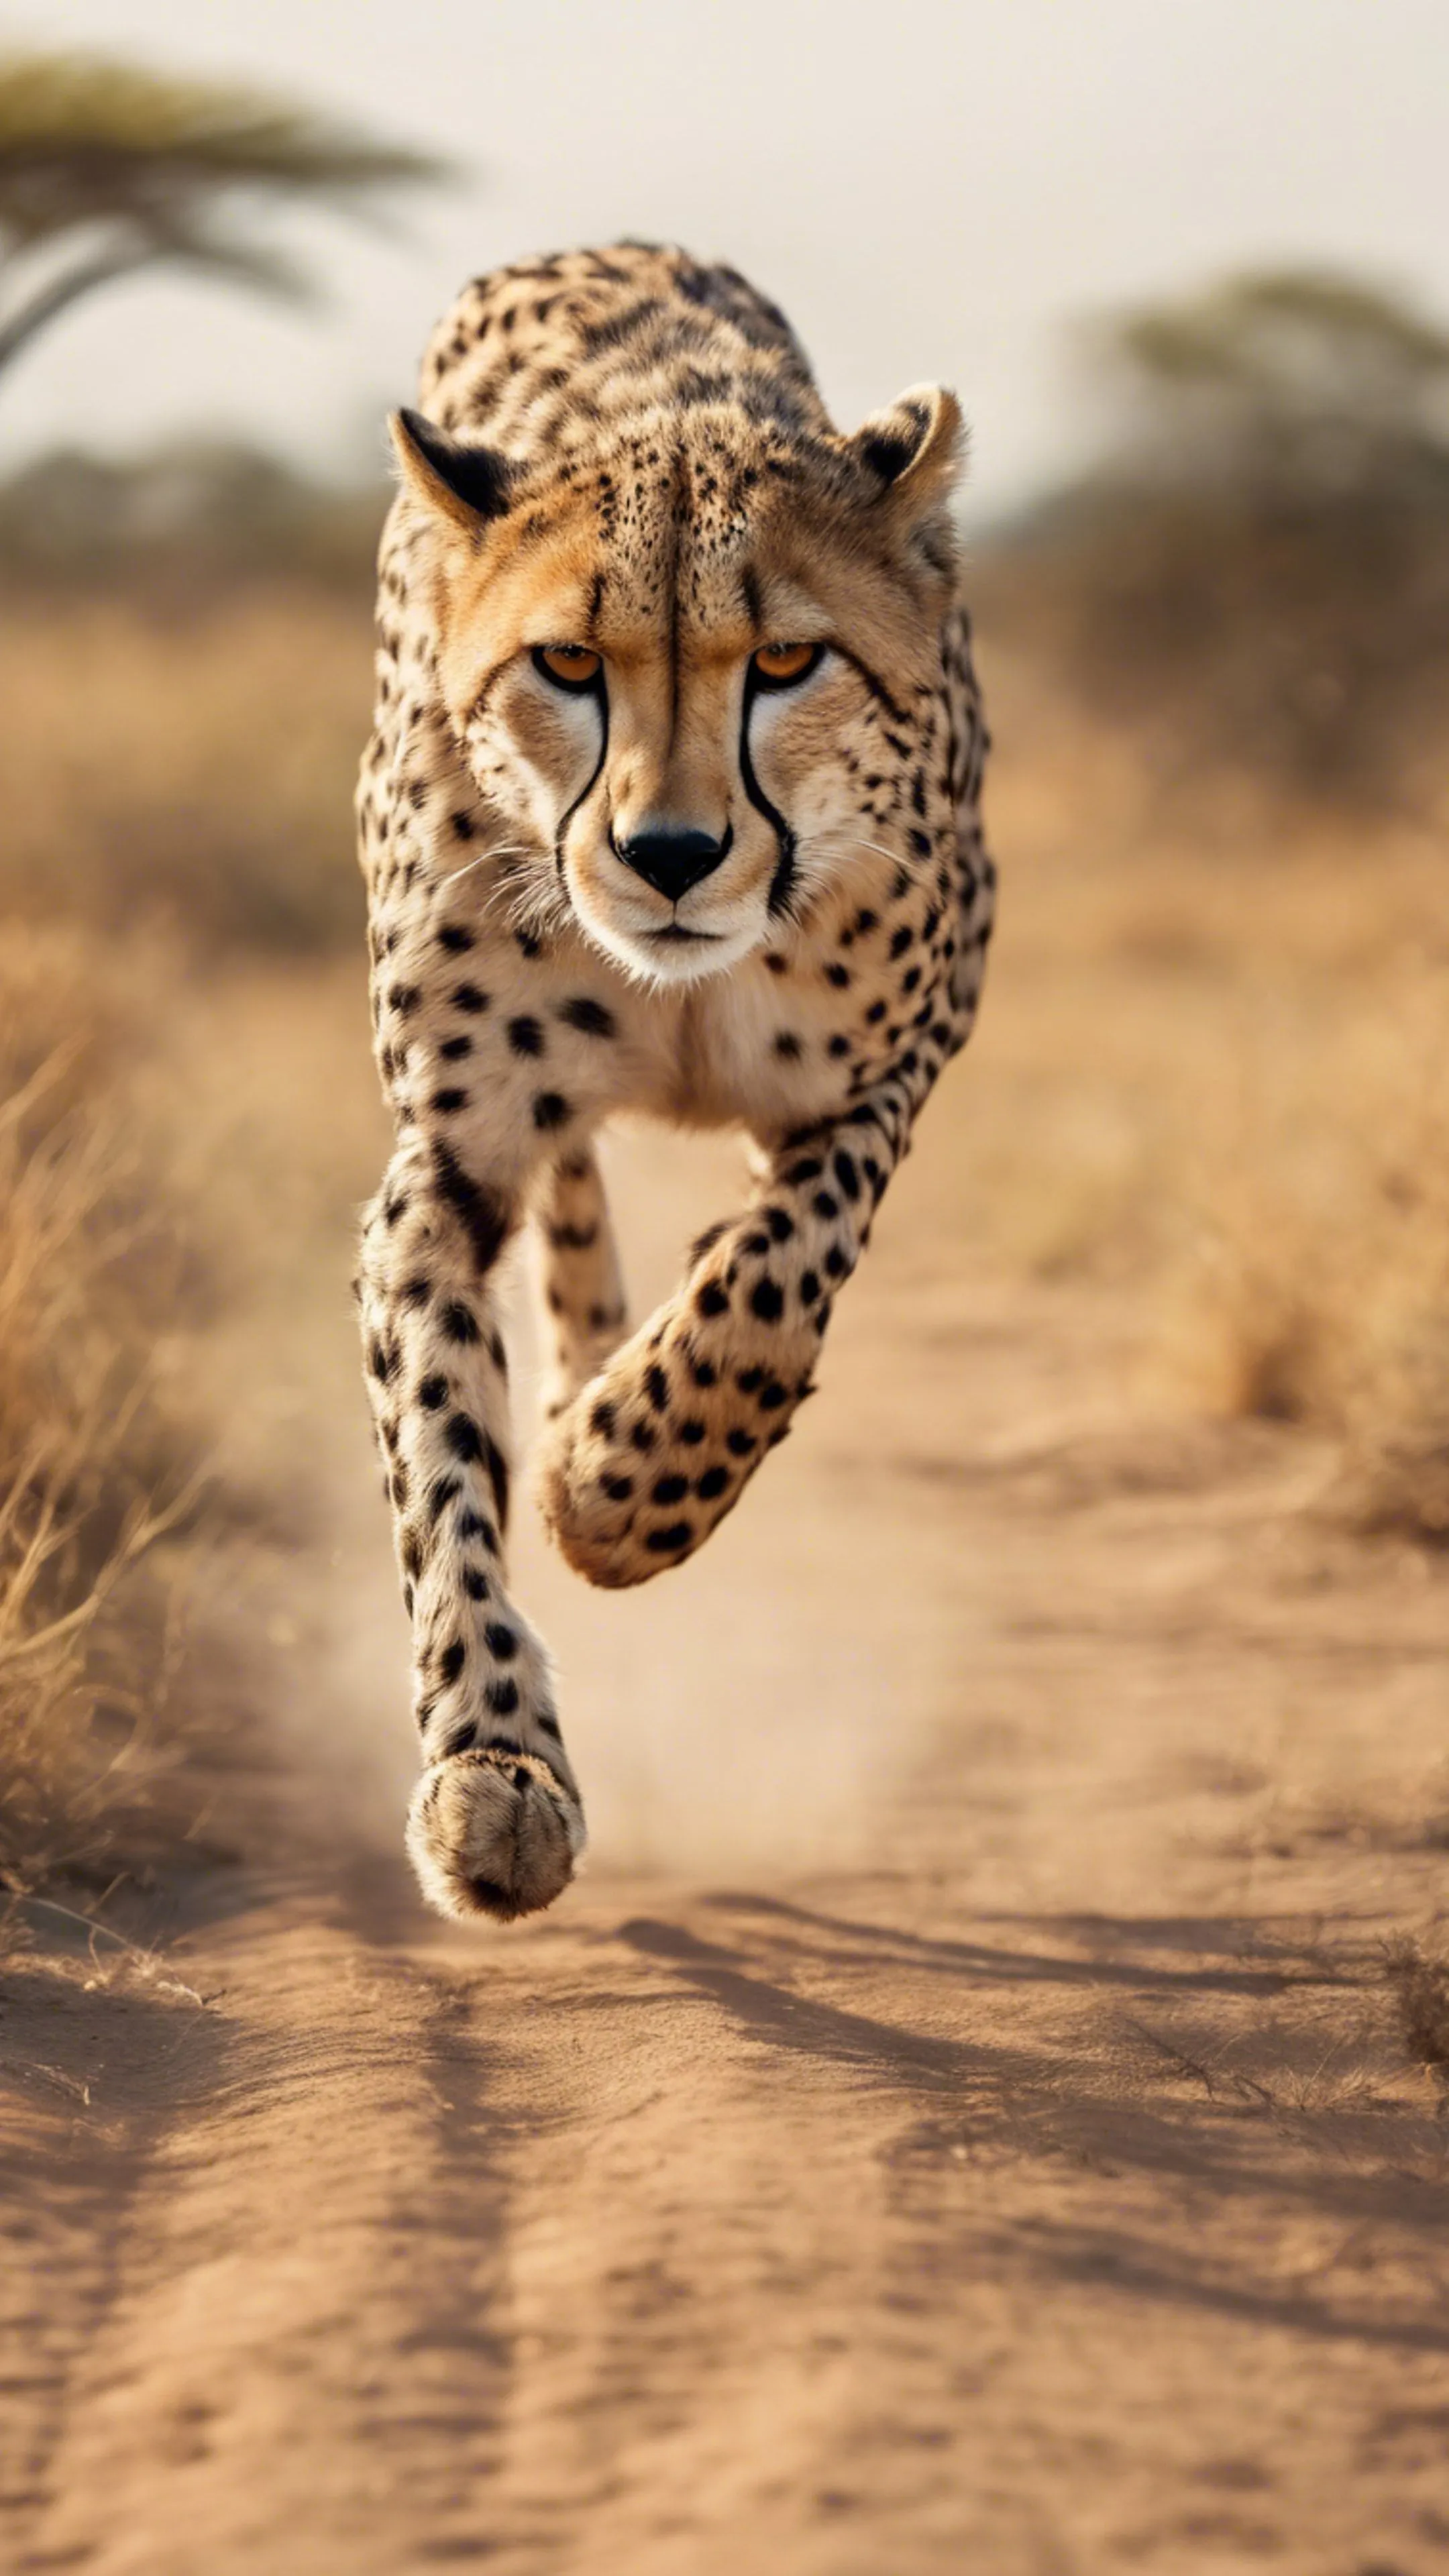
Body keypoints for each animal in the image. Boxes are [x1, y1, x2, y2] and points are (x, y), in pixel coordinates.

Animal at [355, 241, 995, 1925]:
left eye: (786, 662)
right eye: (568, 666)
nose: (669, 853)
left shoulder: (898, 1064)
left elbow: (769, 1289)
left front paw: (616, 1487)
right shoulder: (440, 1164)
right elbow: (439, 1460)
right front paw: (492, 1769)